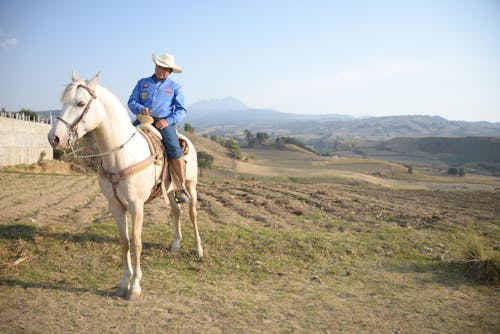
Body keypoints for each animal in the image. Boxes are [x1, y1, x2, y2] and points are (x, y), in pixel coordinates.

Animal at [47, 71, 203, 300]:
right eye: (63, 102)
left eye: (80, 103)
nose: (55, 138)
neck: (120, 156)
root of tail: (186, 140)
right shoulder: (115, 205)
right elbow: (125, 241)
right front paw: (123, 283)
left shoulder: (136, 206)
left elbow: (137, 242)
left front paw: (135, 286)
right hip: (170, 190)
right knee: (176, 212)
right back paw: (175, 244)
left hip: (190, 186)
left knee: (192, 213)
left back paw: (199, 250)